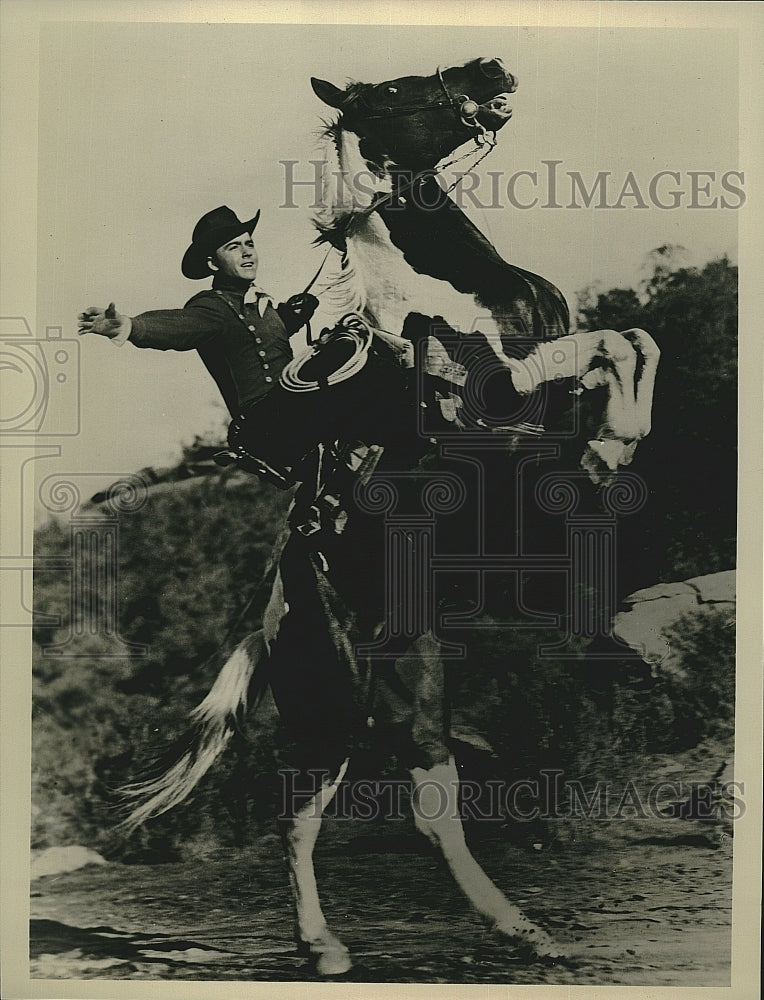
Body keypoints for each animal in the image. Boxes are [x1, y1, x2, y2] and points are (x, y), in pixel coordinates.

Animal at [122, 60, 660, 976]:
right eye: (397, 92)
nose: (491, 71)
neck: (454, 293)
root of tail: (279, 596)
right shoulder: (498, 395)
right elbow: (590, 350)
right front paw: (614, 438)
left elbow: (629, 342)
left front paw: (616, 441)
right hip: (333, 694)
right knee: (298, 807)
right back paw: (323, 945)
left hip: (417, 675)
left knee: (429, 799)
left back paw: (523, 930)